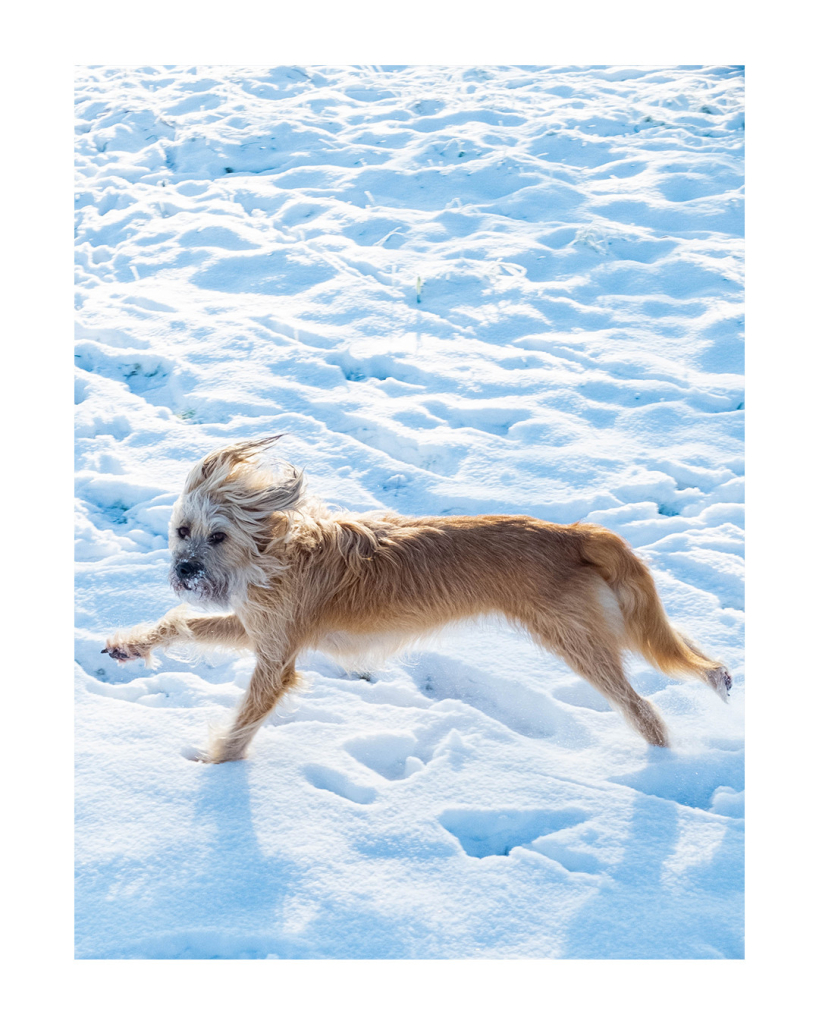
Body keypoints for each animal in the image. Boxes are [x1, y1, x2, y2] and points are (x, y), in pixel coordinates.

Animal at [99, 436, 733, 765]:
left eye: (218, 536)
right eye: (183, 530)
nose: (185, 571)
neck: (274, 552)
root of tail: (572, 532)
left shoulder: (276, 658)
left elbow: (243, 722)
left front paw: (215, 770)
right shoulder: (257, 629)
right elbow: (179, 623)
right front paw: (130, 645)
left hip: (577, 640)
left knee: (643, 709)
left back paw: (664, 769)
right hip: (608, 624)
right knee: (683, 656)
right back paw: (717, 679)